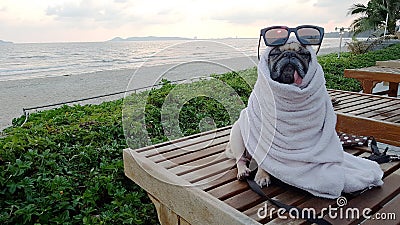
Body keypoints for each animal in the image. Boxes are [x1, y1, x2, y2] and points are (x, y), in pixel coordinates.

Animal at [225, 41, 312, 187]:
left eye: (303, 54)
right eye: (275, 53)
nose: (289, 54)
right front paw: (262, 175)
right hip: (237, 135)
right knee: (240, 158)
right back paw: (243, 171)